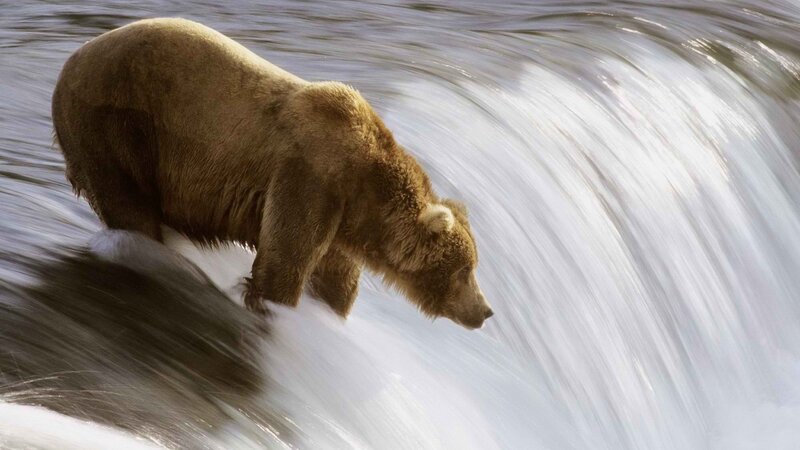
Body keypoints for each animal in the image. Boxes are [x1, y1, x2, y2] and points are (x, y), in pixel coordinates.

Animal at [52, 18, 494, 329]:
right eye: (464, 270)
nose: (485, 310)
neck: (365, 188)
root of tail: (70, 60)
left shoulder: (340, 220)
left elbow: (334, 280)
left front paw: (328, 312)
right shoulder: (310, 177)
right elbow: (284, 261)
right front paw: (274, 307)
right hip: (118, 124)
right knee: (129, 204)